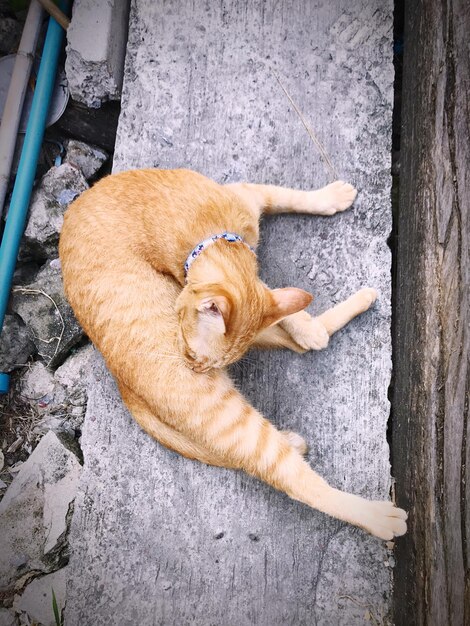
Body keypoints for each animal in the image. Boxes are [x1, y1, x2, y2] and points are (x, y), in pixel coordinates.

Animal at [57, 168, 404, 540]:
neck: (211, 232)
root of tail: (124, 387)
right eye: (191, 354)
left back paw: (352, 307)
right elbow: (265, 284)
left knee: (297, 343)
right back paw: (379, 518)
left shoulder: (249, 195)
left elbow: (288, 201)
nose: (196, 368)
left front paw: (329, 198)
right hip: (233, 421)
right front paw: (304, 323)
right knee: (295, 482)